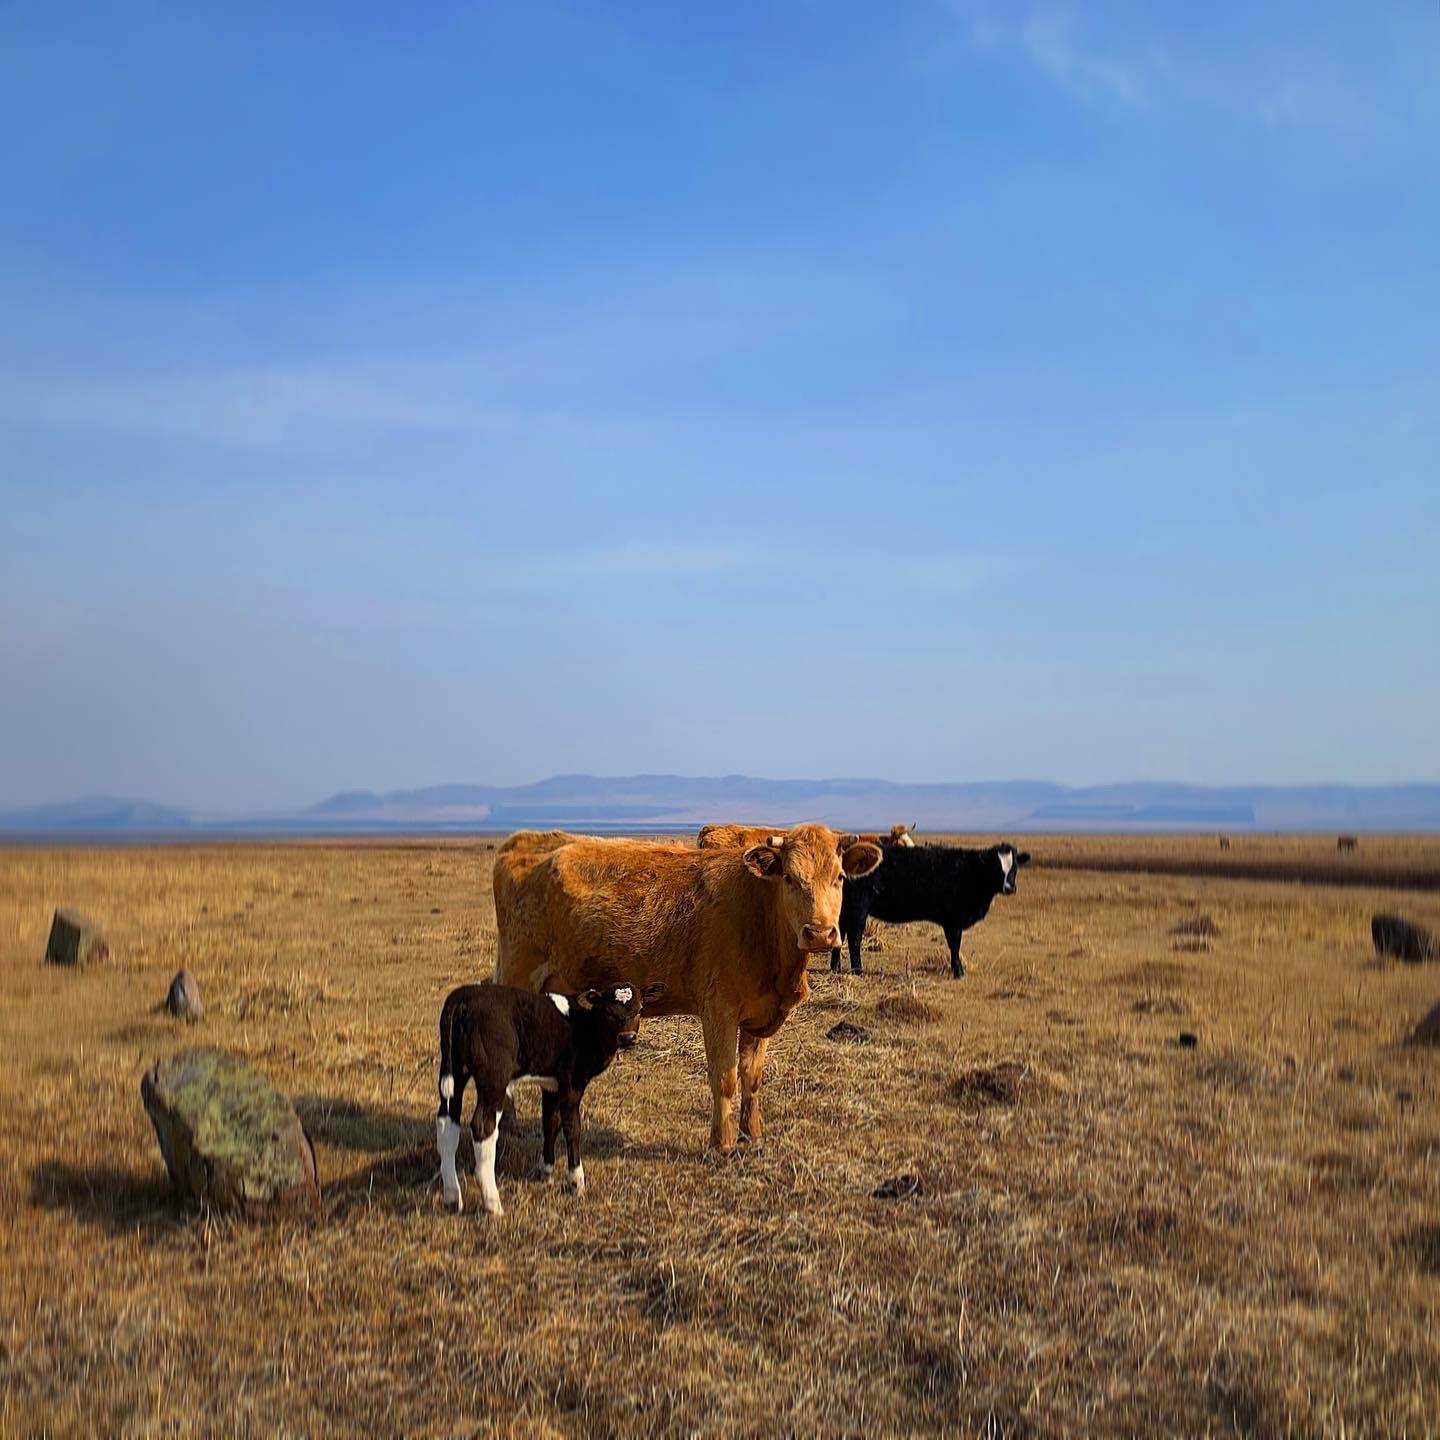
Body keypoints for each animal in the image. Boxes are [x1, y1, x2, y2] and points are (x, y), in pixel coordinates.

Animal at [432, 979, 659, 1215]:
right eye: (607, 1011)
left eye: (640, 1009)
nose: (627, 1038)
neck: (584, 1029)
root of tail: (463, 997)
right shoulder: (572, 1083)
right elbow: (572, 1128)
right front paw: (576, 1182)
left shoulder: (552, 1085)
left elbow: (551, 1123)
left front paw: (546, 1171)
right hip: (494, 1076)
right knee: (482, 1126)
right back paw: (492, 1204)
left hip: (453, 1068)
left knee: (447, 1122)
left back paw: (452, 1197)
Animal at [492, 829, 875, 1152]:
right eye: (789, 878)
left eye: (839, 877)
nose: (820, 933)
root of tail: (526, 839)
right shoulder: (719, 1010)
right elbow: (725, 1078)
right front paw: (722, 1144)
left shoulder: (759, 1014)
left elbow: (752, 1077)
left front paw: (753, 1136)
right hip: (519, 974)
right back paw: (508, 1123)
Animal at [835, 840, 1036, 979]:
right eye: (996, 867)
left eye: (1015, 867)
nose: (1009, 888)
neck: (971, 871)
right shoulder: (954, 920)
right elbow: (955, 945)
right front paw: (958, 972)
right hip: (858, 907)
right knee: (854, 938)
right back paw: (858, 971)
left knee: (841, 934)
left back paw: (835, 968)